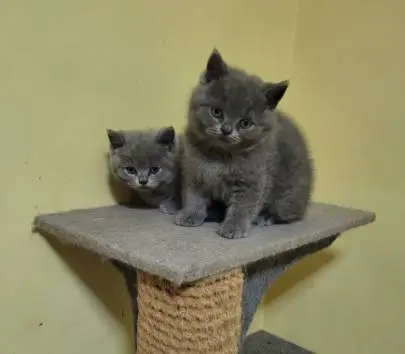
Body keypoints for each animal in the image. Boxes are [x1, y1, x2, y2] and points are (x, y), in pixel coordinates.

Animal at [174, 48, 312, 239]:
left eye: (245, 123)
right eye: (216, 112)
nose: (226, 129)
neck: (220, 155)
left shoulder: (252, 180)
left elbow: (243, 207)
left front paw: (234, 227)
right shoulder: (194, 173)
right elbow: (194, 197)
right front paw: (190, 215)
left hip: (287, 199)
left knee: (288, 215)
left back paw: (265, 218)